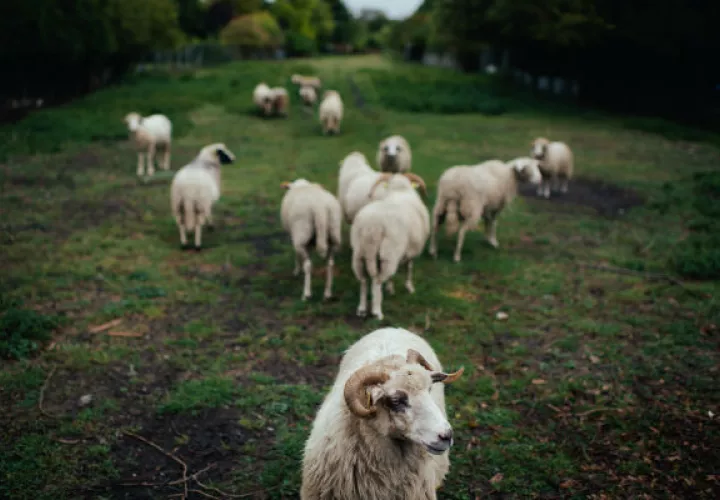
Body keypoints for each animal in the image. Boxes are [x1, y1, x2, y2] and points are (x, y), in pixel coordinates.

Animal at [351, 172, 429, 320]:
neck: (400, 191)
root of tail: (372, 226)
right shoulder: (411, 251)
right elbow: (409, 268)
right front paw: (409, 287)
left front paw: (390, 288)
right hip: (388, 254)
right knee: (377, 281)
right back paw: (377, 312)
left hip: (359, 253)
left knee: (363, 281)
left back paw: (361, 309)